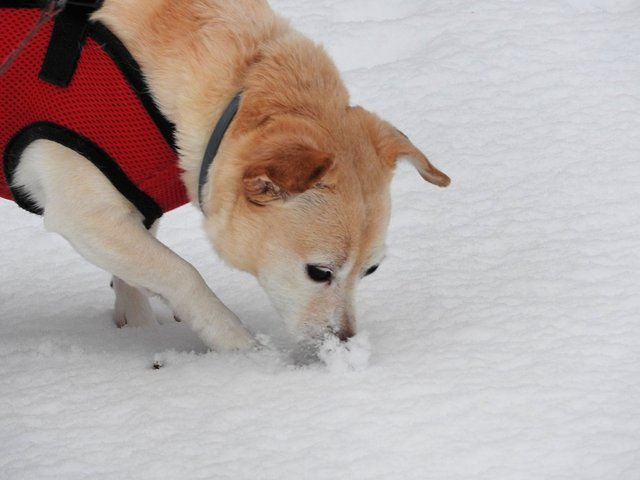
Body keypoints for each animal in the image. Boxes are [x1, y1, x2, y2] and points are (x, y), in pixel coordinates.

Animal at [1, 0, 450, 352]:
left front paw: (139, 330)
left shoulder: (133, 202)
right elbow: (182, 274)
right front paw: (240, 349)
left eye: (370, 271)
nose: (343, 345)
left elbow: (133, 279)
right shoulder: (88, 216)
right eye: (319, 273)